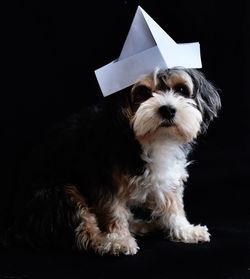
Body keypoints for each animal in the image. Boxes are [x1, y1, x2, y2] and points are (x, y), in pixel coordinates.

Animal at [9, 67, 221, 256]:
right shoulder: (103, 182)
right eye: (143, 92)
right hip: (60, 193)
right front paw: (118, 240)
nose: (168, 110)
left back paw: (145, 225)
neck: (149, 139)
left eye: (181, 90)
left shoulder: (167, 177)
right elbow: (113, 213)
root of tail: (17, 226)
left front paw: (185, 230)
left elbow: (173, 205)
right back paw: (106, 242)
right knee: (84, 230)